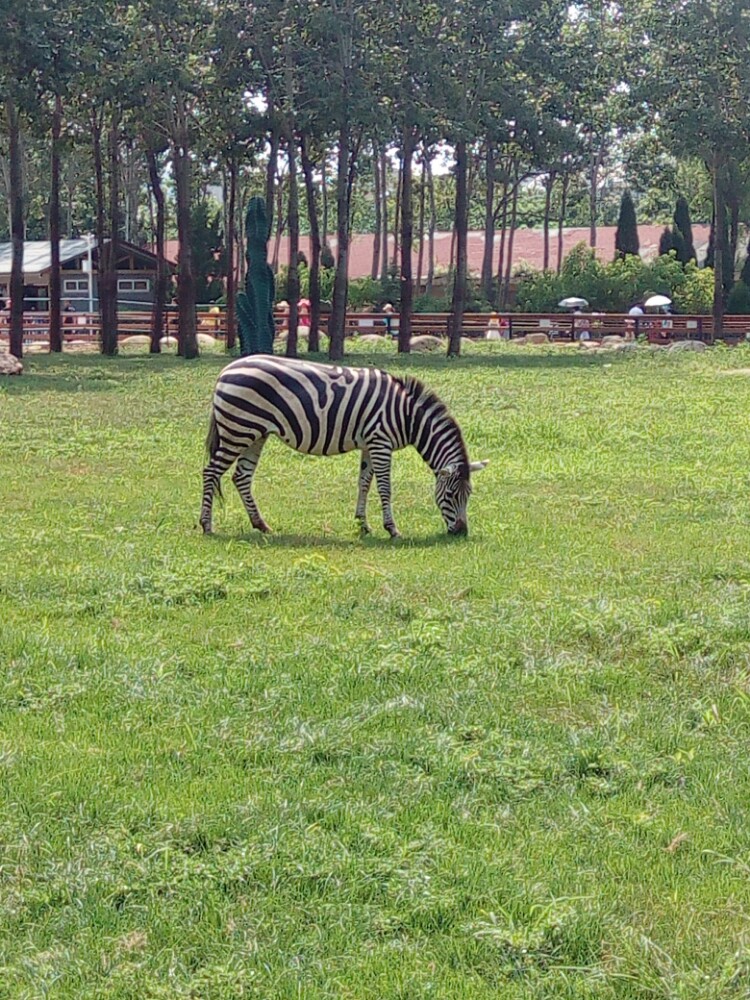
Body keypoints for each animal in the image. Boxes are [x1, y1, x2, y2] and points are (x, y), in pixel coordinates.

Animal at [203, 354, 490, 536]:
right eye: (451, 495)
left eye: (469, 495)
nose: (461, 533)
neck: (407, 415)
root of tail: (225, 371)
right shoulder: (381, 442)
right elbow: (385, 488)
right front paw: (392, 529)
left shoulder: (370, 444)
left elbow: (364, 483)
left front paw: (363, 525)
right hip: (238, 430)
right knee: (211, 472)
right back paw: (206, 525)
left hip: (255, 433)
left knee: (241, 477)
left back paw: (260, 524)